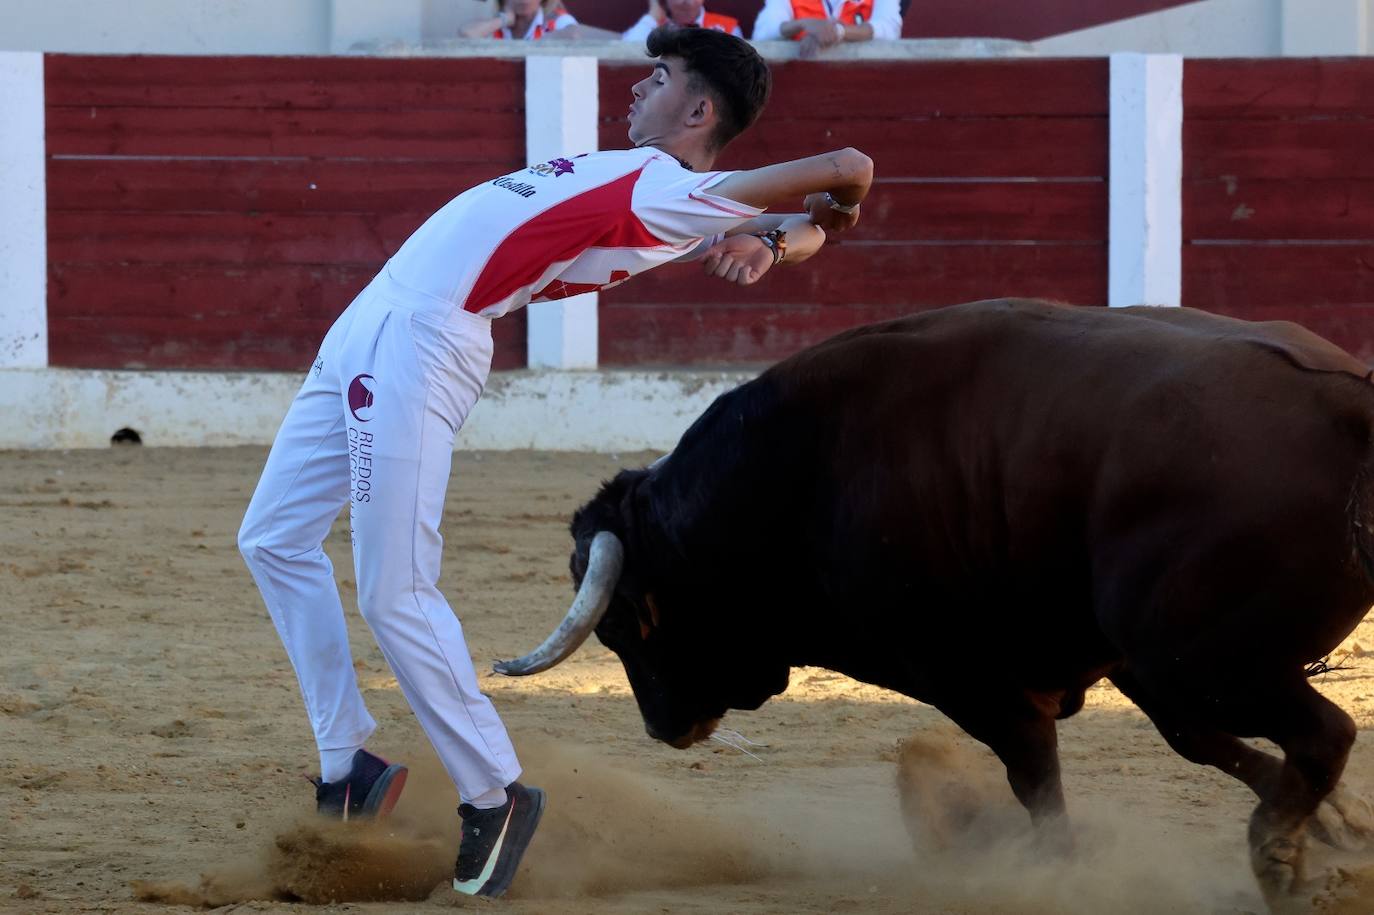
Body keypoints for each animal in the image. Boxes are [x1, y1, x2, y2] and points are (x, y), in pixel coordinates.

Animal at [494, 300, 1374, 906]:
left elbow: (1036, 771)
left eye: (618, 626)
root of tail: (1345, 405)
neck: (794, 480)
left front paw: (1061, 873)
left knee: (1326, 729)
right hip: (1192, 654)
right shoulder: (1120, 658)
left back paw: (1274, 860)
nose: (662, 728)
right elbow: (1198, 742)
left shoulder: (970, 674)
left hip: (1207, 656)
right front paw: (1342, 826)